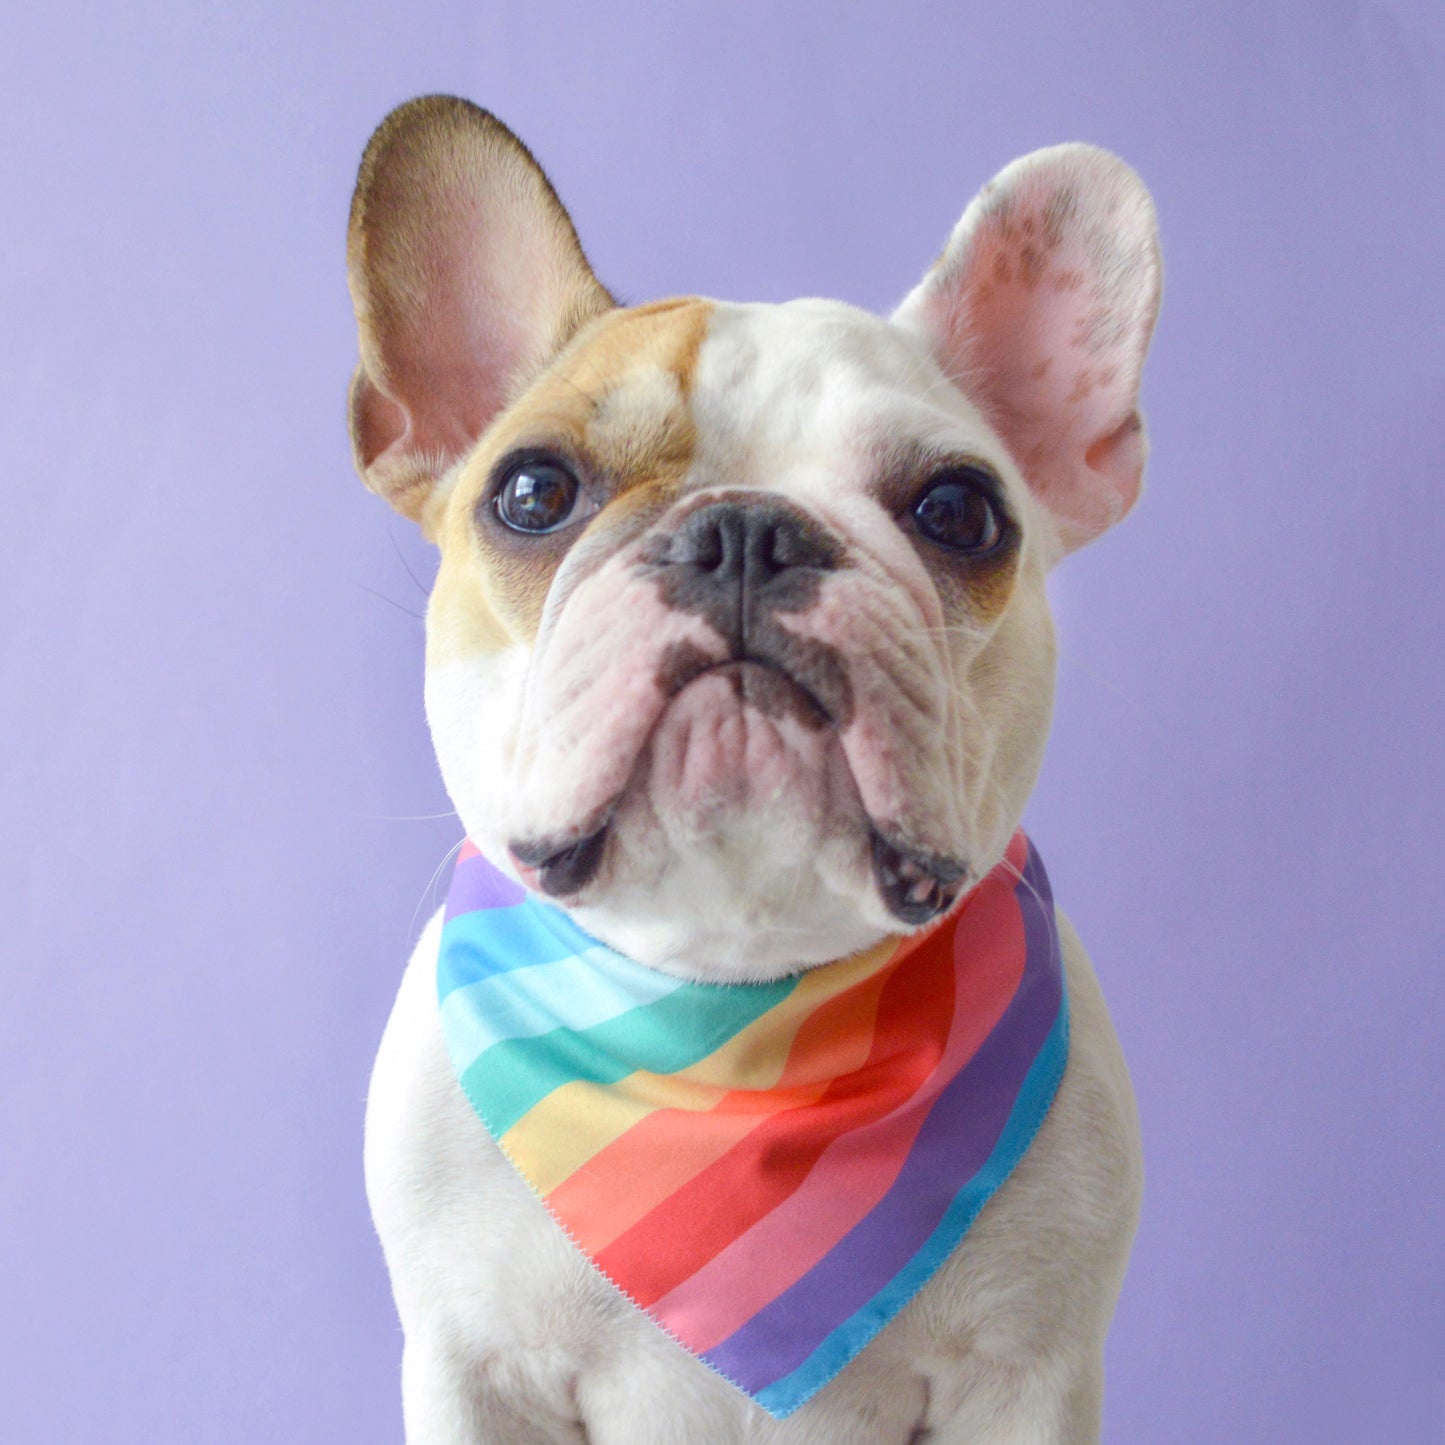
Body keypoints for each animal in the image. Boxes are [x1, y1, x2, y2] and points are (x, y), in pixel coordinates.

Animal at [349, 96, 1161, 1439]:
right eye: (532, 491)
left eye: (958, 512)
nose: (744, 530)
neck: (727, 1005)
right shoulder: (474, 1368)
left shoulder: (1024, 1373)